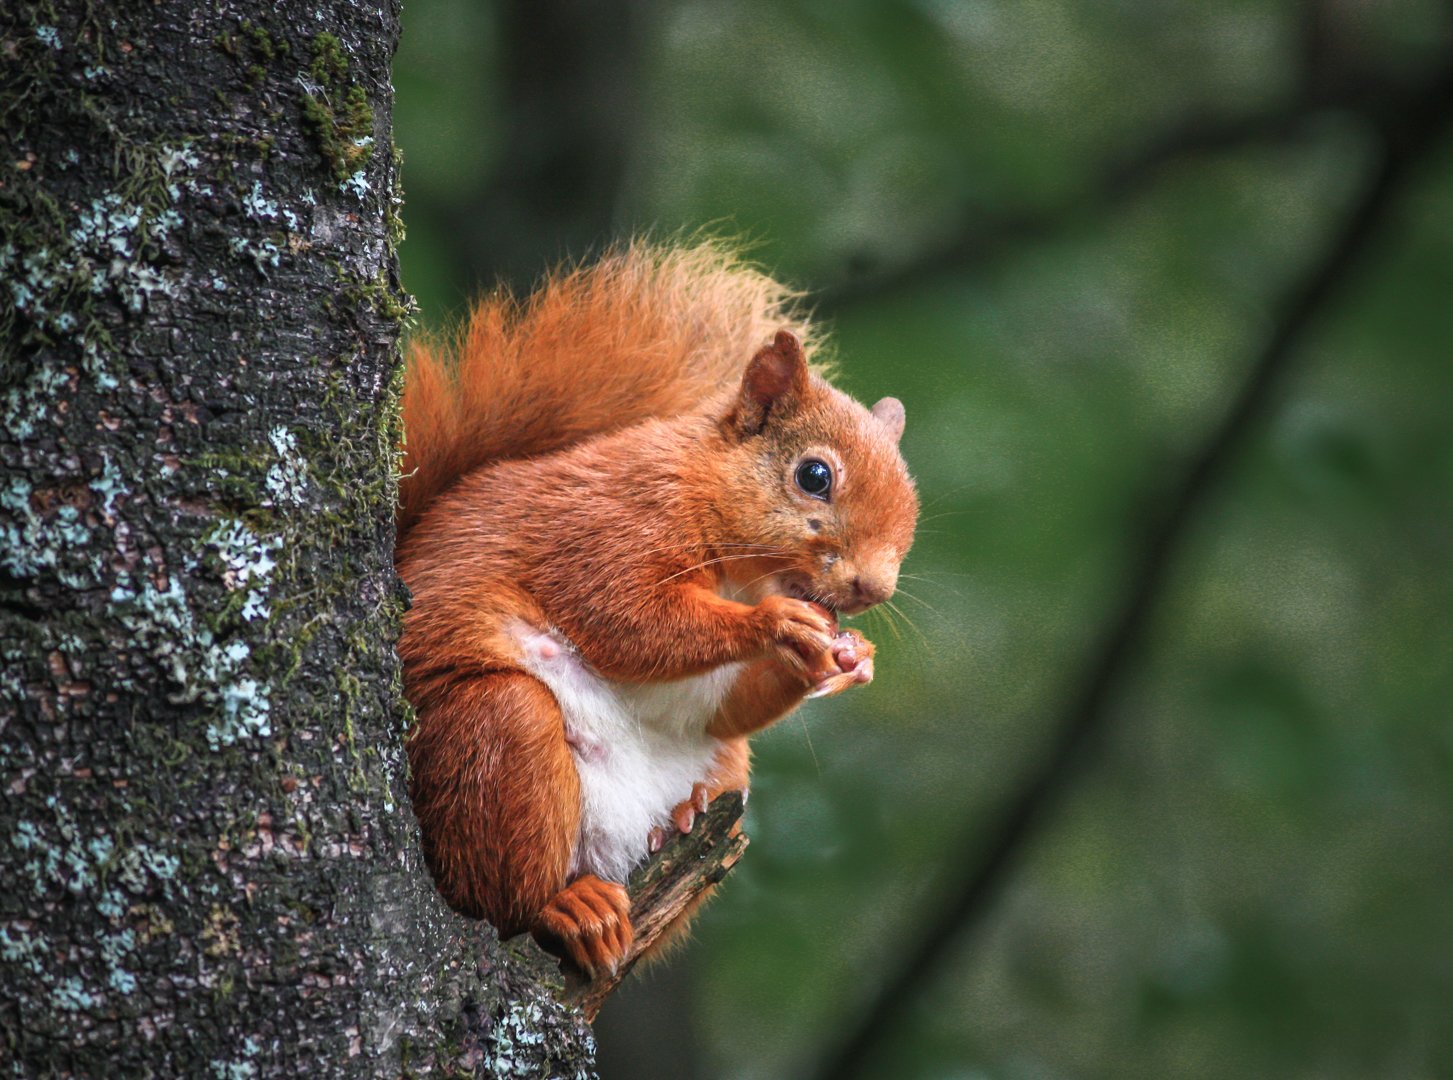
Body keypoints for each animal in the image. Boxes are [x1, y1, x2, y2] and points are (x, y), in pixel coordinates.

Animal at [395, 242, 918, 982]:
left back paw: (682, 817)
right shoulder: (611, 527)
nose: (874, 589)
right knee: (503, 903)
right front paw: (776, 625)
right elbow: (625, 618)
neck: (742, 573)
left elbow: (726, 704)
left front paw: (850, 658)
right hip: (492, 738)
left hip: (726, 777)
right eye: (814, 476)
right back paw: (569, 907)